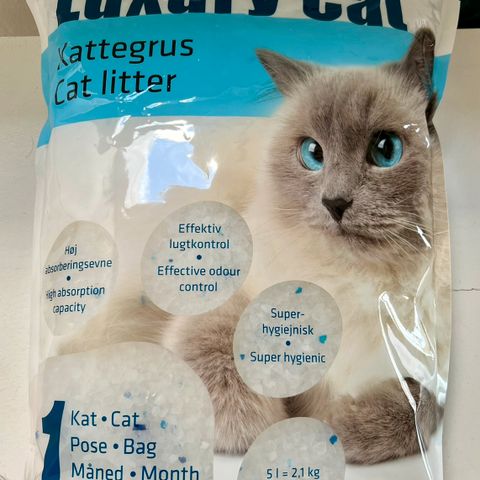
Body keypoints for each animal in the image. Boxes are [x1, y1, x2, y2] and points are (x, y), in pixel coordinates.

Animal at [161, 28, 451, 465]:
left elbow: (411, 408)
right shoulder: (238, 292)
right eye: (312, 154)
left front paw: (328, 428)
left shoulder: (432, 366)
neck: (355, 283)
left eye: (386, 150)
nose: (335, 203)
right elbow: (218, 357)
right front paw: (264, 429)